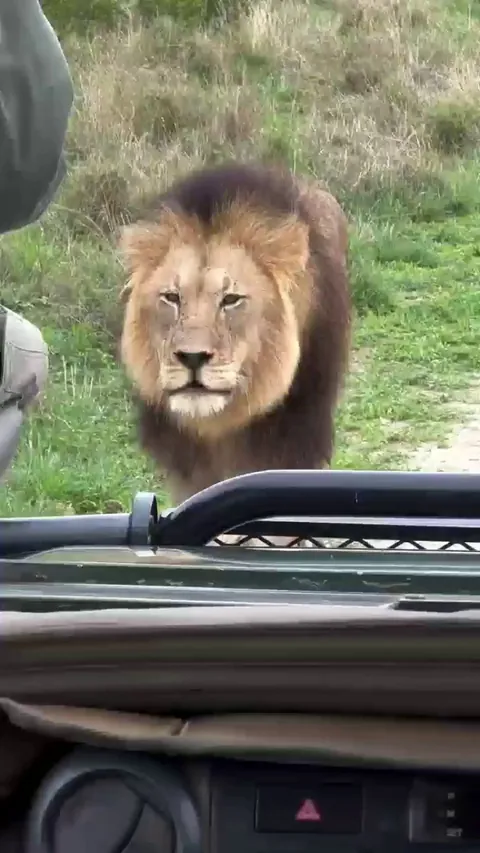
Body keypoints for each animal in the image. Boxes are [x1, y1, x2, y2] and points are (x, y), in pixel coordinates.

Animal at [118, 162, 351, 546]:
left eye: (230, 300)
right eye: (172, 297)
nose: (192, 357)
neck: (220, 425)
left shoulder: (291, 442)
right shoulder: (189, 467)